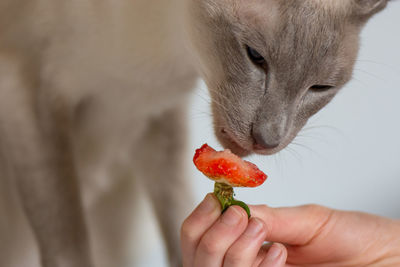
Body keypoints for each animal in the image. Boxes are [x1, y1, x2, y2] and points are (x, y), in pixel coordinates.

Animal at [0, 0, 390, 266]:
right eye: (255, 56)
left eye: (320, 88)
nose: (267, 140)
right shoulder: (28, 92)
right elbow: (67, 239)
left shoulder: (152, 114)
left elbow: (175, 213)